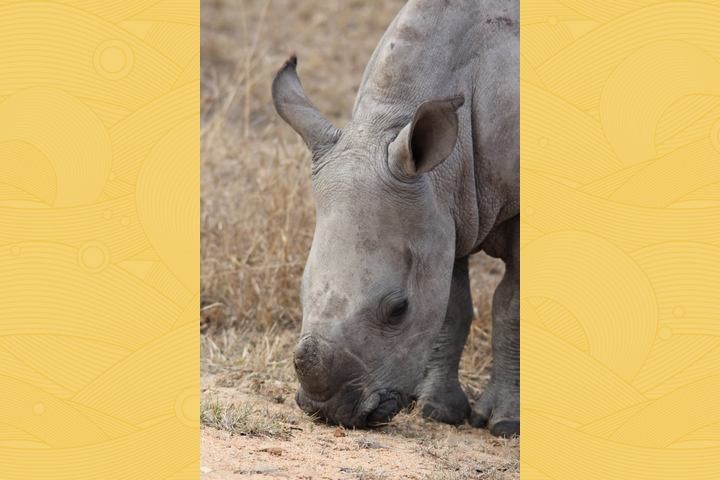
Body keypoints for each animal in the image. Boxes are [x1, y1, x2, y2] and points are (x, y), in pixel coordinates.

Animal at [271, 0, 518, 437]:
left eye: (397, 309)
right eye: (300, 289)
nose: (328, 412)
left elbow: (511, 309)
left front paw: (506, 424)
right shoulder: (447, 208)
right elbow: (451, 304)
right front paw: (437, 410)